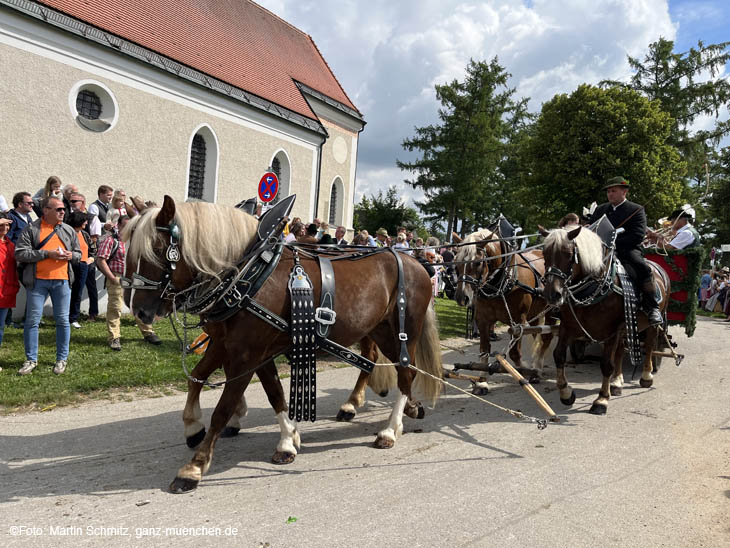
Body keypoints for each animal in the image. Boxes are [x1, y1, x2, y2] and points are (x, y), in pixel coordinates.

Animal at [122, 198, 440, 492]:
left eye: (158, 250)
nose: (138, 310)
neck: (248, 274)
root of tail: (418, 263)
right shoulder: (232, 346)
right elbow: (235, 385)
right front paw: (286, 438)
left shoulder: (247, 353)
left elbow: (223, 408)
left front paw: (194, 467)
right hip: (378, 330)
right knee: (384, 365)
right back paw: (390, 407)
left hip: (402, 332)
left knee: (406, 373)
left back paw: (390, 429)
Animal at [450, 229, 552, 378]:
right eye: (455, 262)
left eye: (478, 263)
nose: (461, 297)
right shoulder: (483, 320)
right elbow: (484, 351)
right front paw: (482, 378)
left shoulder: (518, 321)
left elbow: (514, 353)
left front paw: (522, 369)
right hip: (536, 312)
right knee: (537, 334)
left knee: (546, 337)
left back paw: (537, 367)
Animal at [536, 225, 668, 414]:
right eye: (544, 253)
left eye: (568, 254)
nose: (552, 294)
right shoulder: (568, 327)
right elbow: (559, 355)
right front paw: (566, 393)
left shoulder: (611, 332)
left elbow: (606, 364)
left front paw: (601, 400)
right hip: (626, 327)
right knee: (621, 351)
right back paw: (617, 382)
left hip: (652, 324)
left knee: (650, 345)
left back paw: (646, 376)